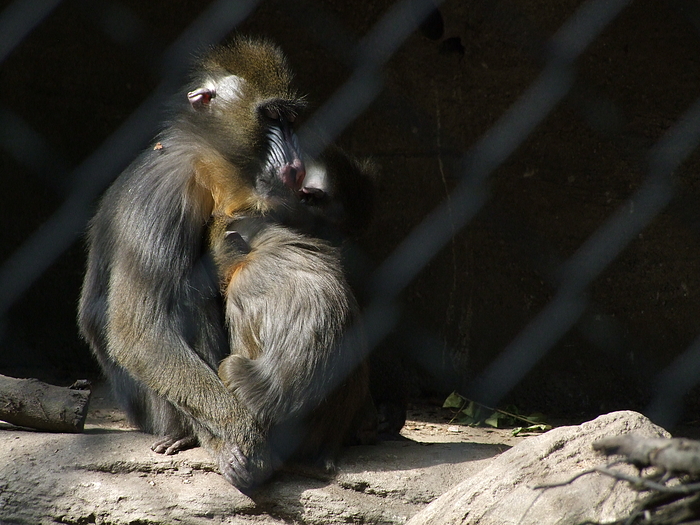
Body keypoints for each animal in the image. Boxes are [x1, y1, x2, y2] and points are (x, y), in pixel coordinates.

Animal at [78, 36, 332, 492]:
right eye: (271, 116)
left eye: (290, 118)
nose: (296, 166)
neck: (205, 160)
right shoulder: (163, 196)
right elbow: (139, 331)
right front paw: (242, 440)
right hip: (155, 410)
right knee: (187, 292)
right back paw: (192, 436)